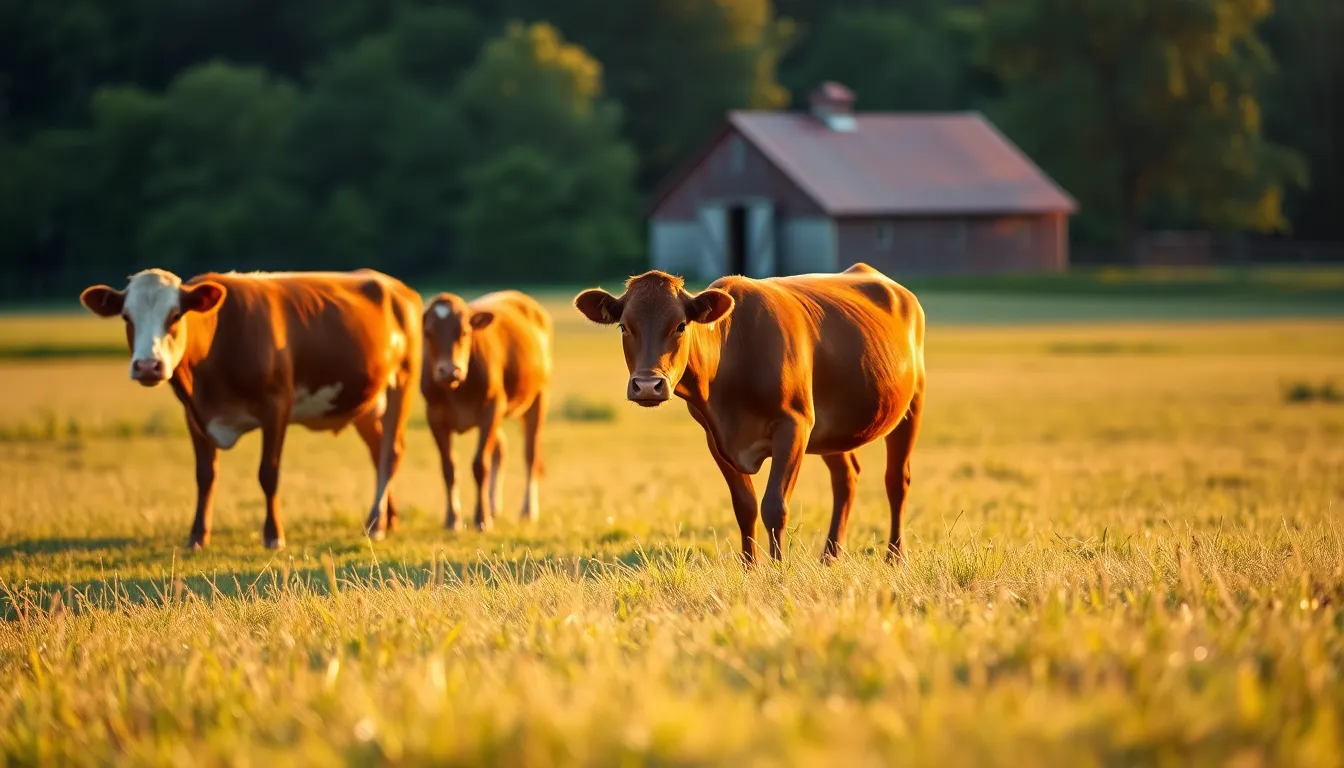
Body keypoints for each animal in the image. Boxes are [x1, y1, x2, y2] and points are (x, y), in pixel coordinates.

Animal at [78, 268, 422, 550]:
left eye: (175, 315)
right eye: (127, 317)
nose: (148, 366)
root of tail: (394, 286)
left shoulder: (277, 406)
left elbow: (267, 473)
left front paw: (273, 536)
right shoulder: (194, 415)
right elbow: (205, 475)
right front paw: (197, 536)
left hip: (402, 381)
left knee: (390, 452)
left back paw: (375, 523)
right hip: (366, 401)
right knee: (378, 451)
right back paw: (388, 518)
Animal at [421, 290, 553, 532]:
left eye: (464, 332)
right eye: (428, 333)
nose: (450, 370)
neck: (458, 389)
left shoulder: (491, 407)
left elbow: (480, 464)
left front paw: (481, 518)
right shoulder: (433, 413)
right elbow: (448, 467)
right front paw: (452, 519)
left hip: (538, 397)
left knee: (530, 455)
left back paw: (527, 510)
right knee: (501, 449)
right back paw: (494, 506)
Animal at [573, 263, 925, 565]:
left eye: (680, 325)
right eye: (624, 326)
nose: (648, 386)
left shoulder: (794, 425)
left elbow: (774, 506)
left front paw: (779, 568)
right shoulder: (716, 438)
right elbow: (745, 506)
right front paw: (750, 568)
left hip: (911, 404)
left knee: (897, 480)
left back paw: (895, 557)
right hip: (831, 431)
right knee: (846, 477)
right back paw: (829, 557)